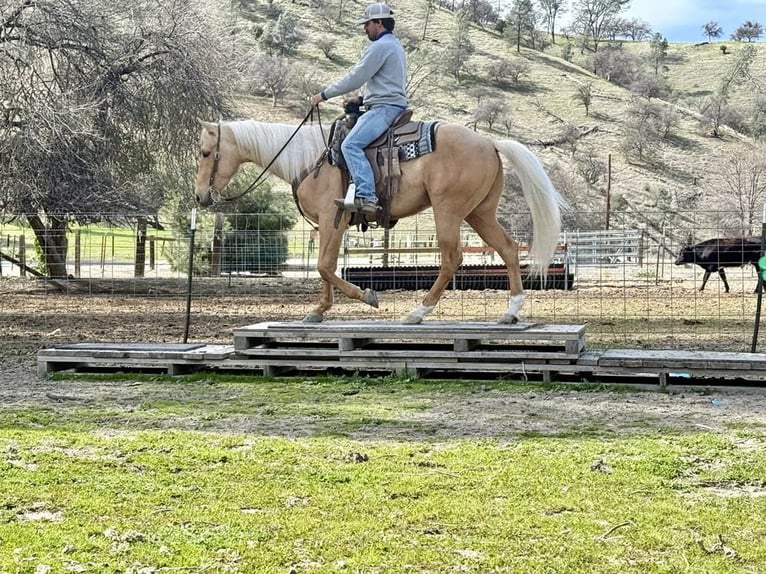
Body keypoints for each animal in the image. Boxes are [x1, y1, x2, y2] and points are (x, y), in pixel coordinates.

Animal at [194, 116, 565, 324]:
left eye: (204, 153)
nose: (199, 197)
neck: (309, 159)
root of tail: (489, 141)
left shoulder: (332, 217)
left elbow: (324, 266)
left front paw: (367, 296)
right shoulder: (332, 223)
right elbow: (325, 266)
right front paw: (319, 310)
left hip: (448, 211)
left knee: (452, 259)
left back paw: (418, 312)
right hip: (480, 213)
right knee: (509, 249)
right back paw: (511, 311)